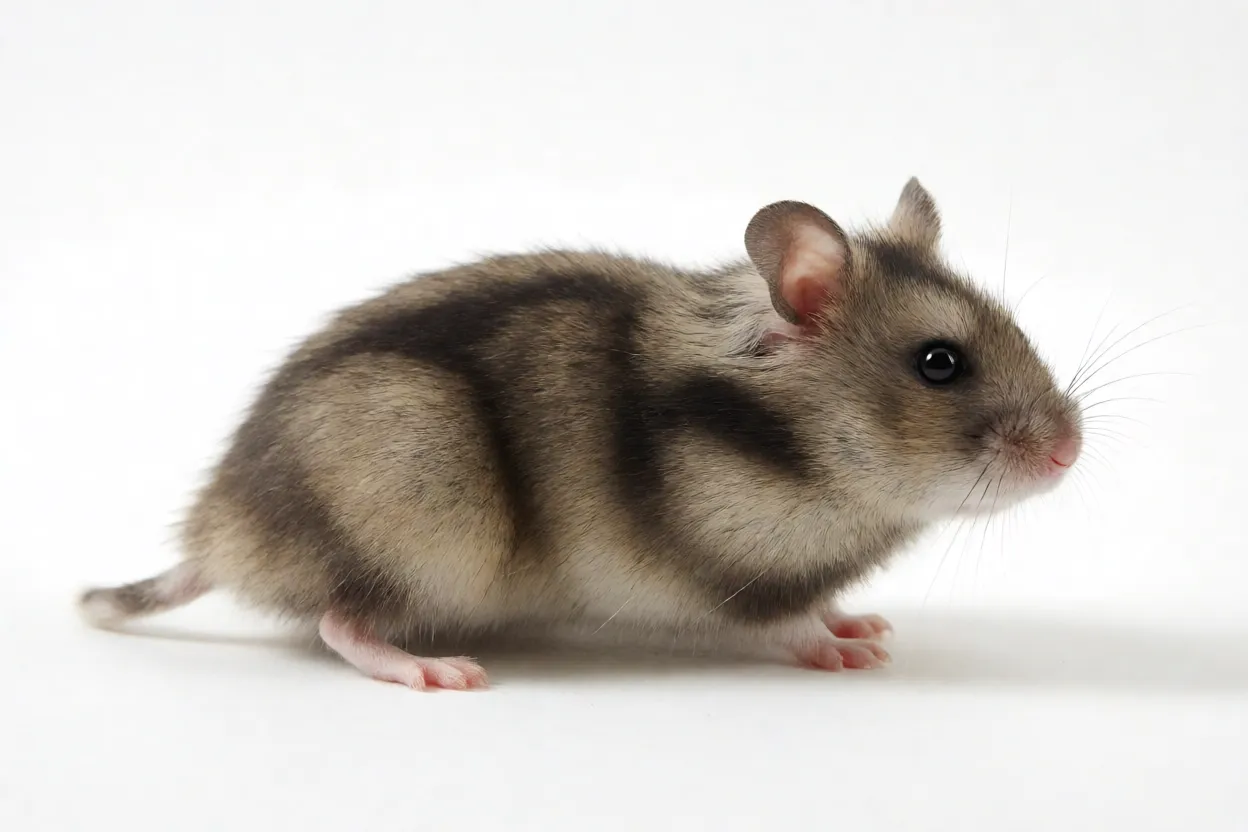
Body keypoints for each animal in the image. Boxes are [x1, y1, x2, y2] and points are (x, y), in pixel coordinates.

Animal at [79, 178, 1082, 690]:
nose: (1072, 452)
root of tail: (216, 537)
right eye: (940, 363)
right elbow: (785, 621)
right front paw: (852, 651)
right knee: (339, 619)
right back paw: (438, 670)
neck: (809, 450)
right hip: (424, 508)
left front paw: (865, 622)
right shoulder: (732, 570)